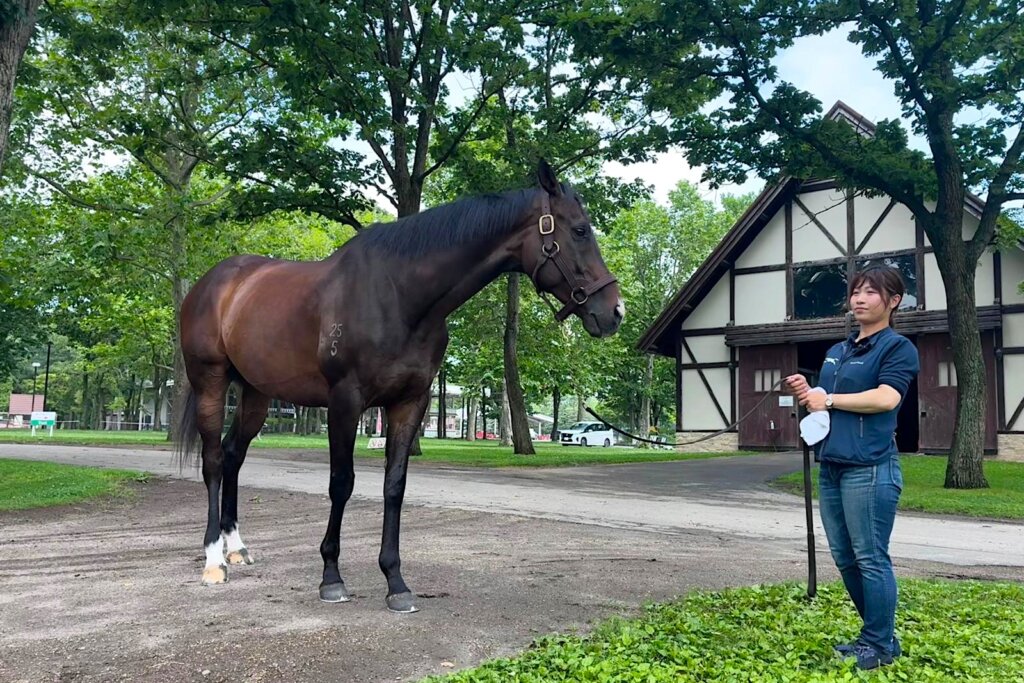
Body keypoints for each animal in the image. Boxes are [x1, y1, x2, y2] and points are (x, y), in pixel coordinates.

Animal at [175, 160, 624, 613]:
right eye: (580, 230)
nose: (615, 311)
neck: (399, 294)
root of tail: (212, 283)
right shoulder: (345, 401)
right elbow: (341, 483)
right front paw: (331, 578)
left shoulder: (411, 402)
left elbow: (395, 486)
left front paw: (396, 582)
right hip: (211, 381)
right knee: (214, 460)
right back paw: (214, 560)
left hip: (256, 393)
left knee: (233, 455)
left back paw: (236, 547)